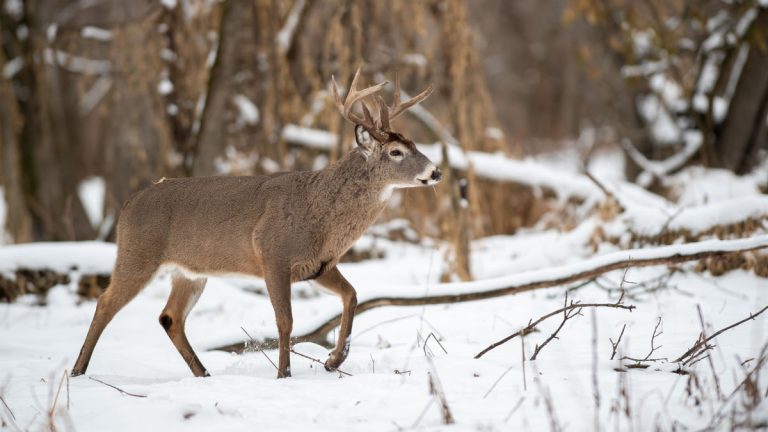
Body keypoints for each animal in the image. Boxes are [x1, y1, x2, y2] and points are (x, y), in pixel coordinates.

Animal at [72, 67, 444, 378]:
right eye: (396, 152)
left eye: (413, 143)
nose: (436, 171)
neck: (319, 213)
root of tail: (127, 206)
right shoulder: (272, 253)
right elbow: (285, 321)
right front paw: (284, 375)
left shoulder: (319, 265)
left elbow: (351, 295)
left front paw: (333, 360)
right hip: (138, 254)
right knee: (105, 303)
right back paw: (78, 371)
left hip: (189, 272)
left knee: (170, 317)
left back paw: (203, 374)